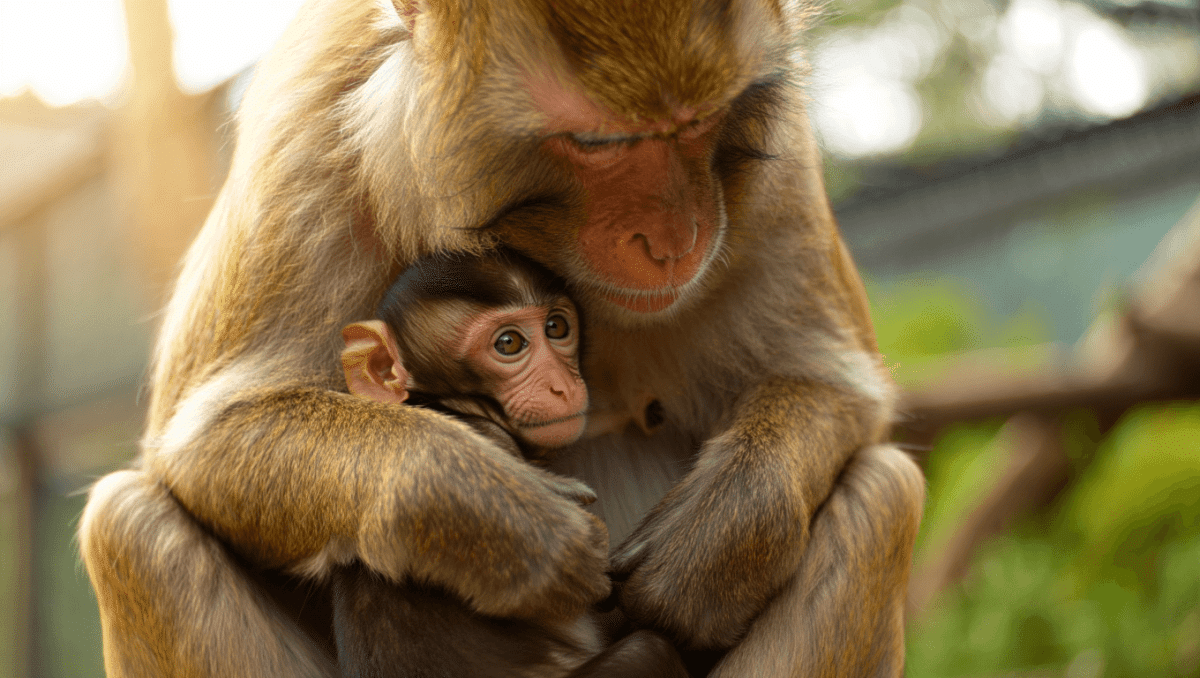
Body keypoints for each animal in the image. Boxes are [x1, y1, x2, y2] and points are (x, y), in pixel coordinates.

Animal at [333, 248, 687, 677]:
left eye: (556, 327)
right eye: (509, 343)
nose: (562, 386)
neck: (453, 404)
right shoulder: (488, 439)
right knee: (649, 649)